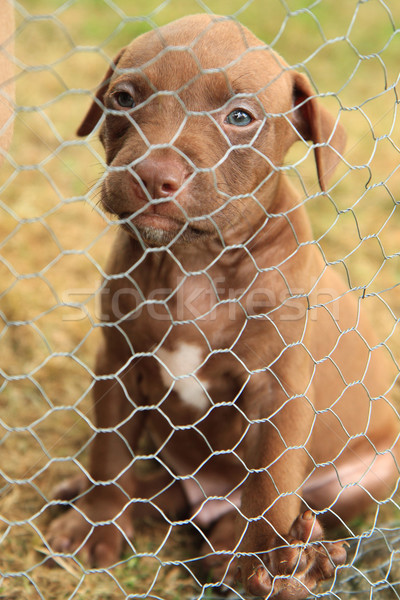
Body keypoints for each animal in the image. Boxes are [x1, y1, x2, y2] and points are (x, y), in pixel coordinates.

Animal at [46, 15, 396, 600]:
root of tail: (206, 500)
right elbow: (109, 452)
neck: (194, 261)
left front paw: (269, 565)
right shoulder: (117, 363)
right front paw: (97, 520)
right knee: (161, 490)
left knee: (290, 507)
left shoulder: (281, 394)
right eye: (124, 98)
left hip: (367, 475)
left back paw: (261, 557)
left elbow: (272, 485)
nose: (153, 174)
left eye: (240, 118)